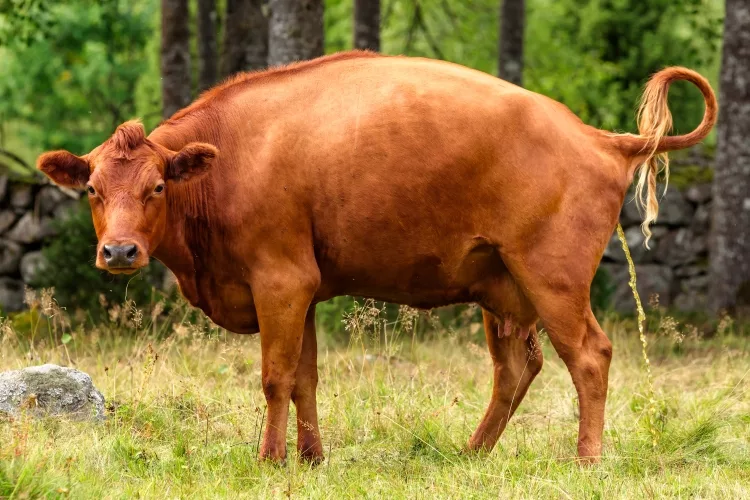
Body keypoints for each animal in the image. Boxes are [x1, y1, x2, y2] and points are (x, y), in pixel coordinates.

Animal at [37, 51, 717, 464]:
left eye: (157, 187)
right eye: (92, 189)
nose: (119, 250)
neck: (228, 161)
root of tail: (596, 136)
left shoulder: (280, 282)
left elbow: (275, 377)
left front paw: (269, 460)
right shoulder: (303, 291)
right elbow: (304, 377)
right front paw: (310, 459)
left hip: (554, 280)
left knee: (589, 357)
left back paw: (586, 460)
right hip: (503, 292)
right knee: (517, 369)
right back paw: (471, 454)